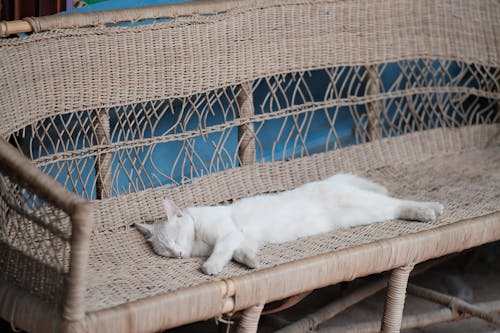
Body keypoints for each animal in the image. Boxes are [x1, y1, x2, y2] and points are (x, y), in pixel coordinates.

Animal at [135, 172, 444, 274]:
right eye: (164, 251)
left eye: (174, 240)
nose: (177, 254)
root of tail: (332, 180)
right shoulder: (241, 238)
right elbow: (241, 251)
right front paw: (251, 262)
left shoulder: (227, 234)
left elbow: (221, 251)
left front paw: (209, 266)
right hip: (360, 213)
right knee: (392, 207)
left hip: (363, 204)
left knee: (397, 202)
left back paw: (429, 209)